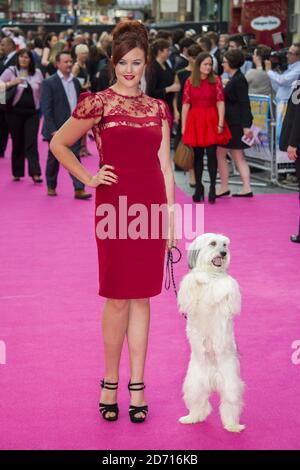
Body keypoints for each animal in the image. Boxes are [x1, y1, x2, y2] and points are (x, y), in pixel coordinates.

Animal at [177, 232, 245, 434]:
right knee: (200, 405)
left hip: (231, 385)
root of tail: (213, 375)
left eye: (225, 245)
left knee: (229, 406)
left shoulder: (227, 287)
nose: (223, 253)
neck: (211, 274)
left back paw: (233, 426)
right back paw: (192, 418)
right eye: (213, 244)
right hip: (193, 385)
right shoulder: (189, 290)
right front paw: (199, 278)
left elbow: (225, 284)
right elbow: (194, 279)